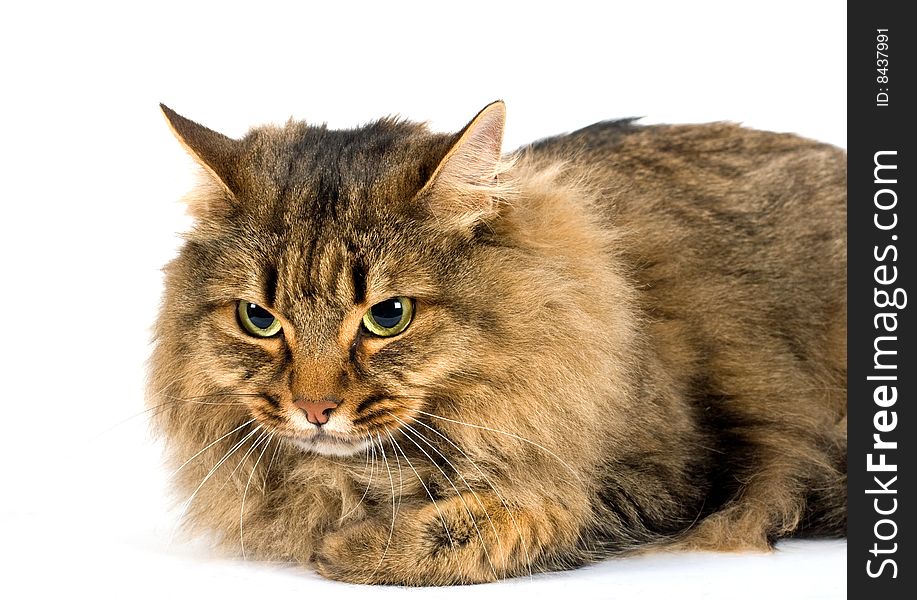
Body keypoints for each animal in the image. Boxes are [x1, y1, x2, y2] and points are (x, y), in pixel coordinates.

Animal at [148, 101, 844, 584]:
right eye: (258, 319)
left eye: (390, 315)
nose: (314, 410)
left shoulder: (669, 478)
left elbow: (521, 514)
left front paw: (348, 547)